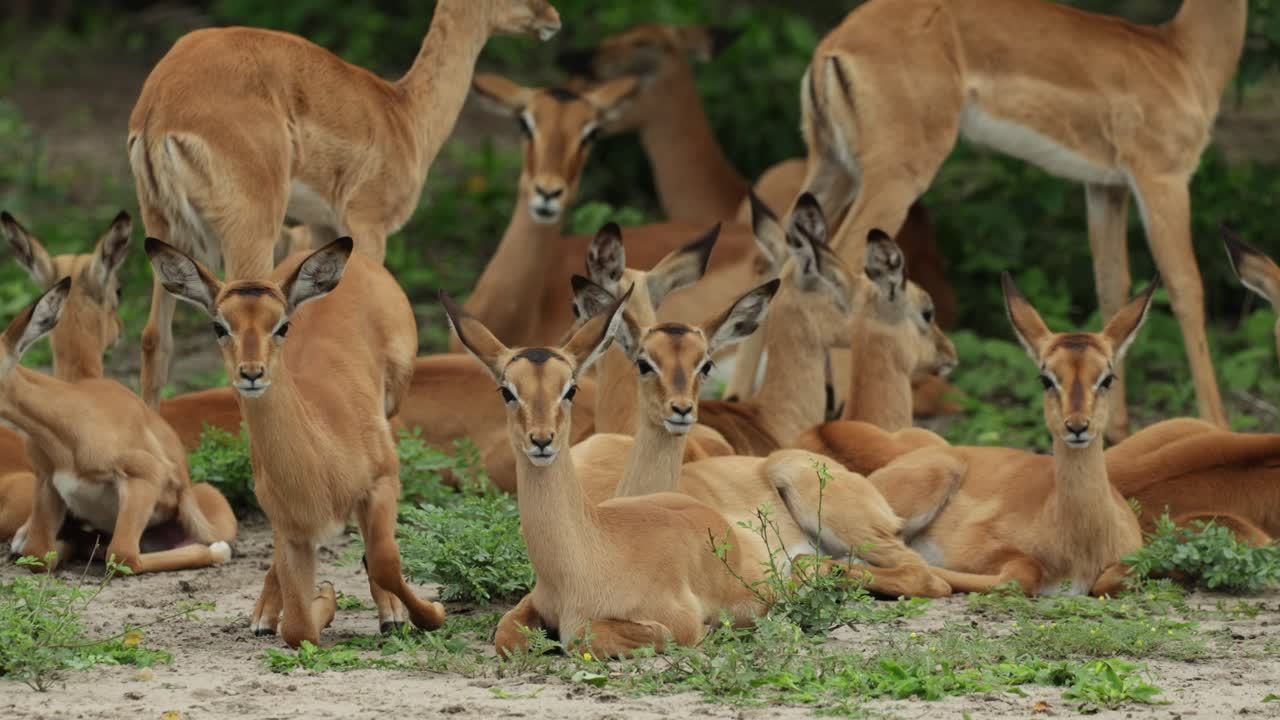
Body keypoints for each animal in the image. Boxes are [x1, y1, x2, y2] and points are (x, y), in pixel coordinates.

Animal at [128, 0, 562, 407]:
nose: (552, 19)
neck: (404, 115)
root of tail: (158, 106)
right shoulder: (368, 226)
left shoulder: (324, 228)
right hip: (250, 231)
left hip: (164, 229)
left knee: (154, 340)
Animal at [147, 238, 445, 647]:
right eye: (219, 325)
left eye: (282, 325)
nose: (251, 373)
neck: (323, 457)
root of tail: (362, 261)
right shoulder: (290, 527)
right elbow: (298, 627)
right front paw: (323, 595)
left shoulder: (383, 480)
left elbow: (384, 559)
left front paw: (429, 614)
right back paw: (263, 616)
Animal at [443, 291, 945, 660]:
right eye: (507, 390)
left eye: (570, 388)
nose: (541, 439)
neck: (585, 559)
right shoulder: (531, 605)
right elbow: (508, 635)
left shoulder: (673, 621)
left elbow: (590, 636)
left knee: (922, 575)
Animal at [796, 0, 1247, 438]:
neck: (1183, 55)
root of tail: (834, 45)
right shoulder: (1162, 178)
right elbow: (1186, 286)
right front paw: (1219, 426)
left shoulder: (1105, 187)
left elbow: (1111, 287)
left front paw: (1117, 430)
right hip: (896, 172)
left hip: (832, 168)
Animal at [861, 274, 1156, 596]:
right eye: (1046, 379)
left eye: (1107, 378)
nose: (1077, 426)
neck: (1083, 544)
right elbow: (1025, 571)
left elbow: (1113, 577)